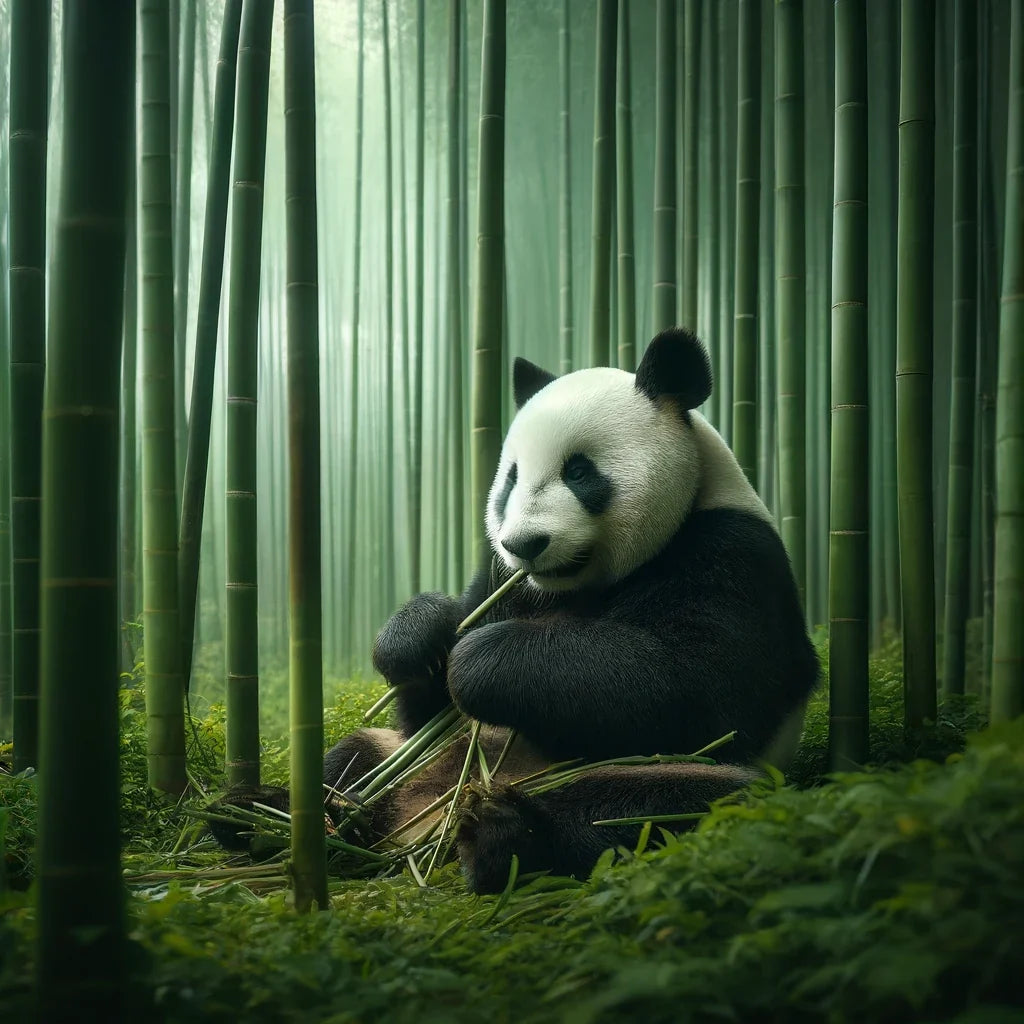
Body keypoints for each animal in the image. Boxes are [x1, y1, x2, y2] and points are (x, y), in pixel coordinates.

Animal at [214, 327, 819, 894]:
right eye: (510, 478)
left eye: (579, 472)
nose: (525, 544)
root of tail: (421, 820)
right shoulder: (501, 576)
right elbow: (423, 705)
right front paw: (421, 640)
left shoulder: (729, 553)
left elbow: (700, 690)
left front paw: (482, 660)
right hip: (421, 757)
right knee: (355, 759)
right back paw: (264, 816)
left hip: (667, 782)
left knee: (666, 802)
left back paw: (502, 838)